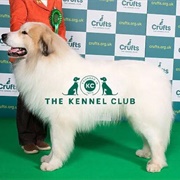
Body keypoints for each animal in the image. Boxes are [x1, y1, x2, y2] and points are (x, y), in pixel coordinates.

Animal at [1, 22, 173, 173]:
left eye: (24, 33)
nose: (3, 35)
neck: (42, 62)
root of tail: (161, 75)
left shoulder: (60, 121)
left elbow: (57, 144)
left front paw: (53, 164)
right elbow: (55, 145)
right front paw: (49, 159)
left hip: (143, 117)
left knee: (156, 140)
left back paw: (156, 164)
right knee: (148, 138)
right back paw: (146, 154)